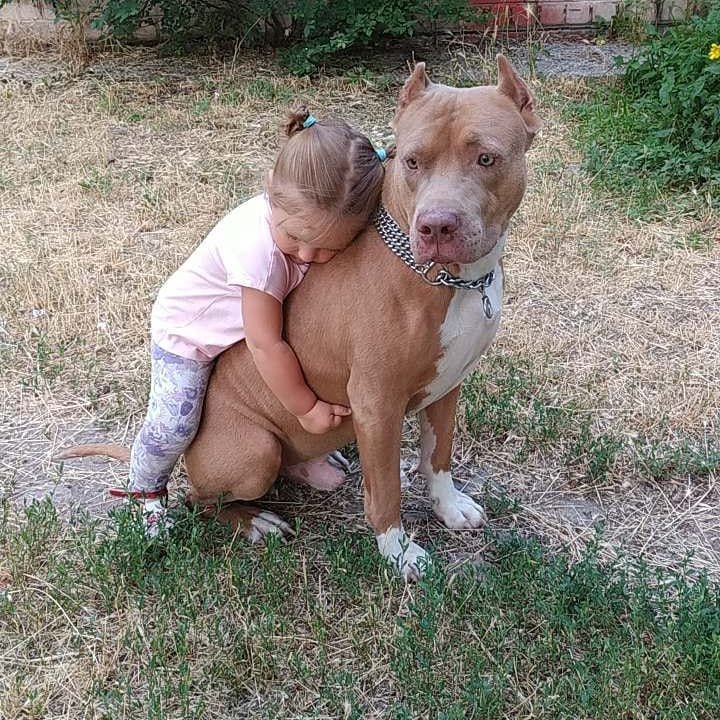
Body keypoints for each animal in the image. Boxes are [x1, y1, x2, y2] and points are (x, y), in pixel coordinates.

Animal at [56, 59, 540, 584]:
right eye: (412, 162)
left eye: (486, 158)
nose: (436, 226)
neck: (453, 279)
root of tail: (185, 462)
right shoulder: (376, 404)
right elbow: (386, 491)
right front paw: (399, 553)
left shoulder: (447, 385)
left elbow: (439, 455)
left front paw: (449, 508)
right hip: (253, 450)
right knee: (195, 499)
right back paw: (249, 520)